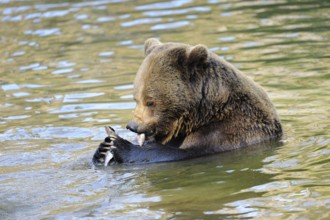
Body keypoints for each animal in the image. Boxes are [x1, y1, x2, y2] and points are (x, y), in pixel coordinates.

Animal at [92, 38, 282, 165]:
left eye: (150, 101)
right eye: (135, 98)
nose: (133, 126)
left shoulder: (229, 131)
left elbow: (182, 153)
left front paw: (122, 146)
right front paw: (102, 148)